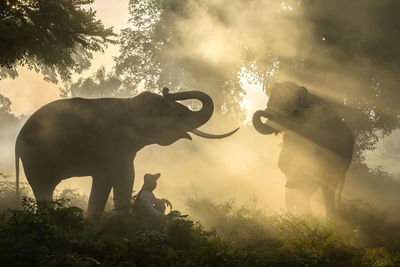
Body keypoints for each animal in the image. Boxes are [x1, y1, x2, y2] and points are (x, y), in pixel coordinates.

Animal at [15, 88, 239, 220]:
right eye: (178, 114)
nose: (167, 90)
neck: (130, 104)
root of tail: (17, 139)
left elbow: (126, 177)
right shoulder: (108, 145)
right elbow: (111, 179)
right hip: (35, 158)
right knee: (43, 189)